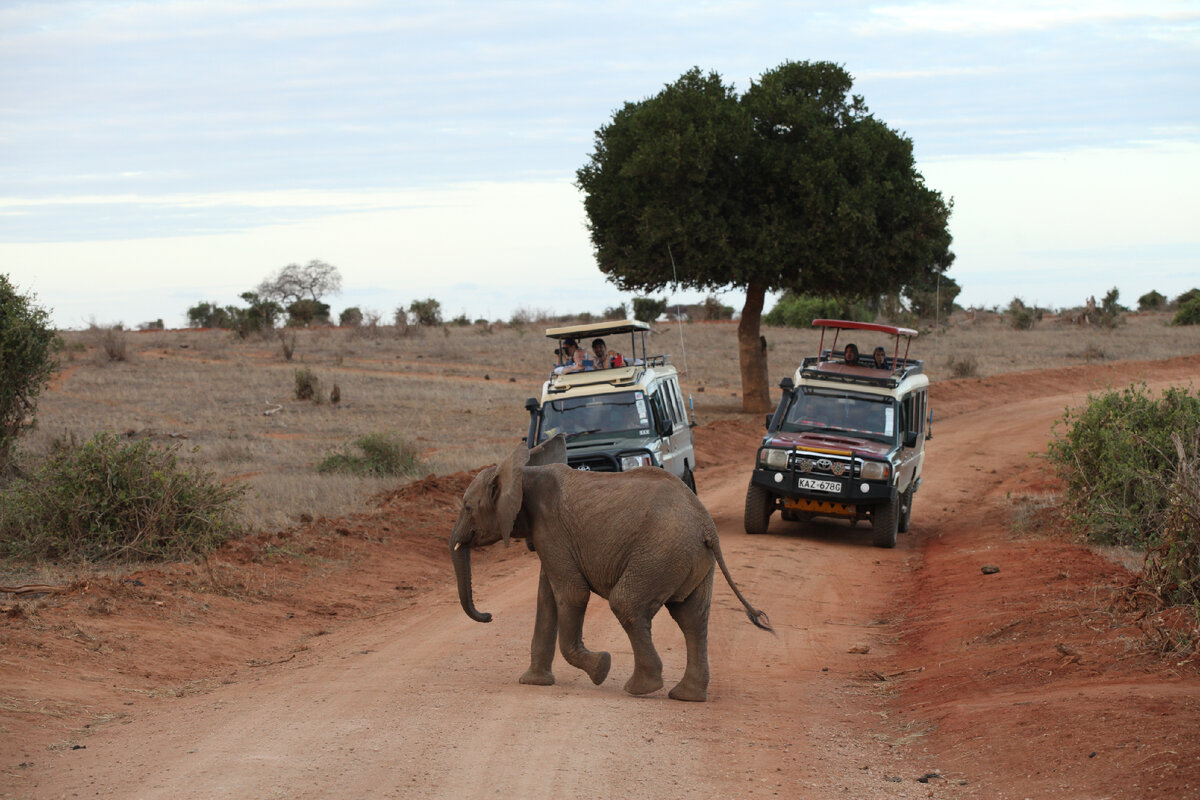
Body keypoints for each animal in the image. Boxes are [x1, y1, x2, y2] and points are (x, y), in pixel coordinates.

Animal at [448, 434, 768, 705]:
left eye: (467, 508)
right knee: (691, 617)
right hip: (690, 558)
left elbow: (571, 594)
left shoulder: (551, 529)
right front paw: (533, 682)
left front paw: (601, 668)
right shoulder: (548, 537)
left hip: (660, 553)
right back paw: (686, 696)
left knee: (626, 603)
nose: (489, 616)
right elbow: (547, 598)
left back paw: (640, 689)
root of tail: (706, 525)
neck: (523, 471)